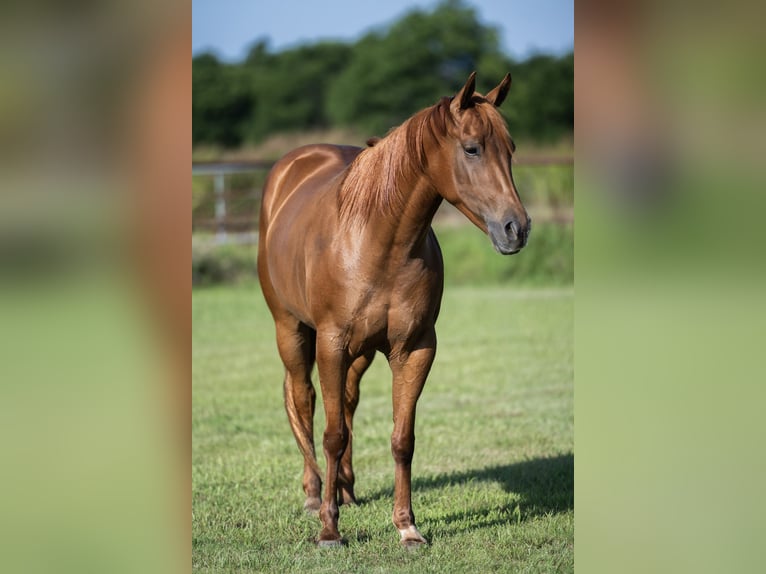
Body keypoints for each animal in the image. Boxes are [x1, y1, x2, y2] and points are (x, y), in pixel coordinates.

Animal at [257, 72, 530, 547]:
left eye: (510, 149)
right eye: (472, 148)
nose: (517, 228)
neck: (377, 240)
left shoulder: (414, 349)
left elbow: (402, 438)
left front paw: (407, 526)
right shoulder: (331, 344)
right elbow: (332, 434)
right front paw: (329, 530)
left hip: (361, 352)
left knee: (347, 402)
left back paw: (345, 490)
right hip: (290, 330)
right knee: (304, 401)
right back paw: (314, 494)